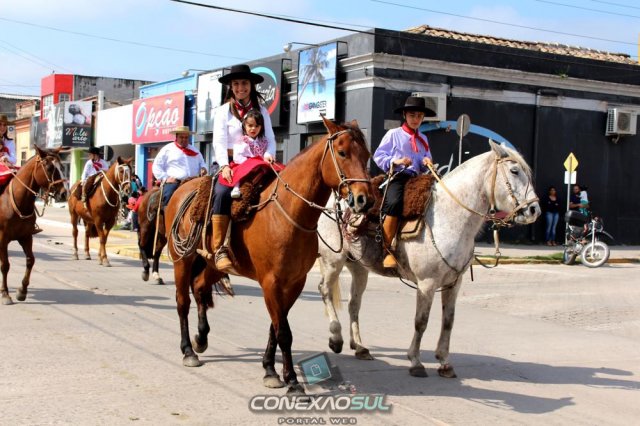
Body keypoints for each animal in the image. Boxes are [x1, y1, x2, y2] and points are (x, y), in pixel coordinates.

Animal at [0, 146, 67, 305]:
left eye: (62, 167)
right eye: (49, 168)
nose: (63, 194)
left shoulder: (26, 236)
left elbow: (30, 260)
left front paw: (22, 291)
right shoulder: (2, 238)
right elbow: (5, 265)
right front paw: (5, 294)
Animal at [165, 117, 373, 395]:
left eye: (367, 155)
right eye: (342, 152)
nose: (364, 200)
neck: (288, 214)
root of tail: (182, 189)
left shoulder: (294, 283)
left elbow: (276, 326)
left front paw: (270, 370)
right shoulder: (270, 282)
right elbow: (283, 331)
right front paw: (293, 381)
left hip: (214, 265)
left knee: (198, 287)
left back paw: (201, 338)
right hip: (182, 260)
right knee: (182, 301)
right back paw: (188, 350)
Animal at [317, 140, 541, 377]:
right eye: (514, 171)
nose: (534, 210)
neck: (448, 216)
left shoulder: (454, 283)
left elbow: (448, 321)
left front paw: (444, 361)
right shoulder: (427, 283)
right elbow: (421, 321)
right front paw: (415, 361)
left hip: (359, 267)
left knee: (354, 304)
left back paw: (360, 347)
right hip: (333, 260)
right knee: (325, 290)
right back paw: (336, 338)